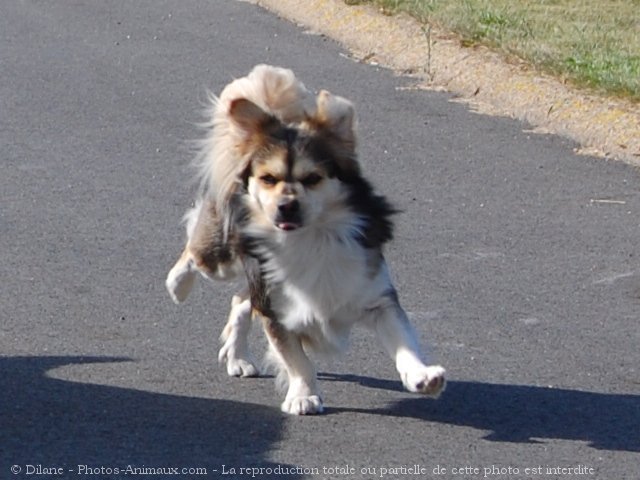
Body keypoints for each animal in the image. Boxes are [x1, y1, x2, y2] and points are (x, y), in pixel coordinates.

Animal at [166, 63, 444, 414]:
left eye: (313, 179)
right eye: (268, 179)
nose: (286, 206)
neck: (312, 240)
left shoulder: (376, 298)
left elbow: (403, 341)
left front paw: (422, 376)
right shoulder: (277, 311)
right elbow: (297, 360)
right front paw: (303, 395)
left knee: (240, 300)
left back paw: (238, 356)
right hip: (221, 258)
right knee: (195, 254)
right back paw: (178, 286)